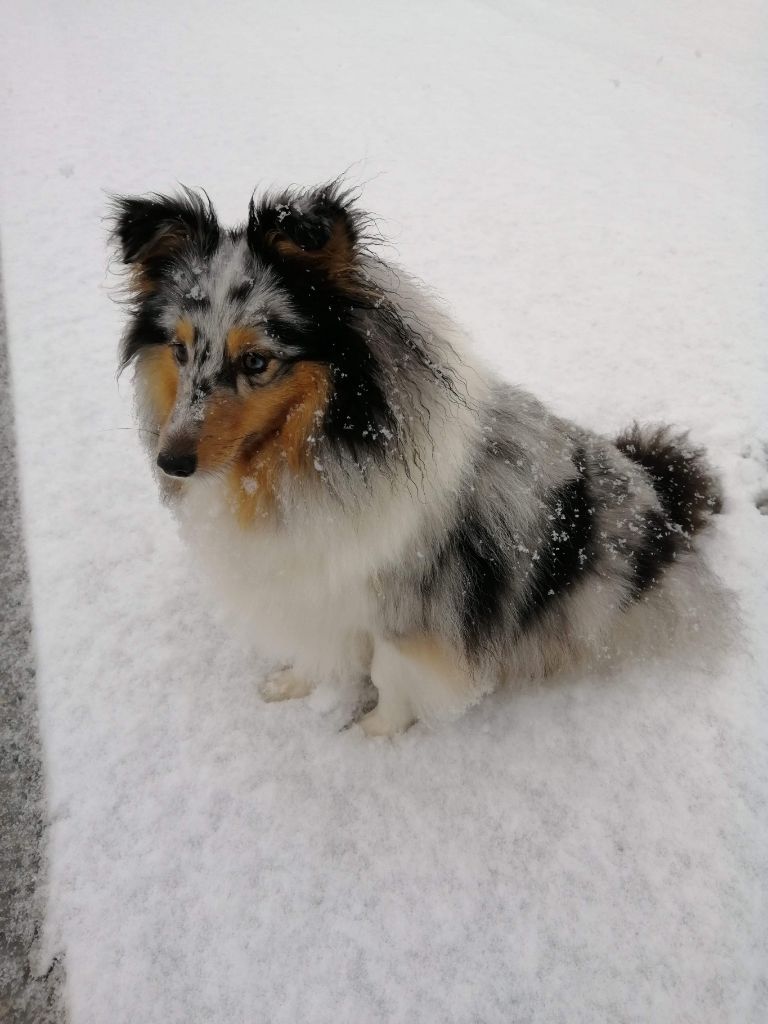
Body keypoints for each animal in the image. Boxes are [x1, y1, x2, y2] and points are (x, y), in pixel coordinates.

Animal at [111, 180, 724, 733]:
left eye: (257, 361)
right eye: (179, 349)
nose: (171, 463)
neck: (298, 462)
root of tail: (661, 497)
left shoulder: (414, 606)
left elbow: (392, 675)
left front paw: (375, 736)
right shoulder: (313, 587)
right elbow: (321, 647)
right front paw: (292, 685)